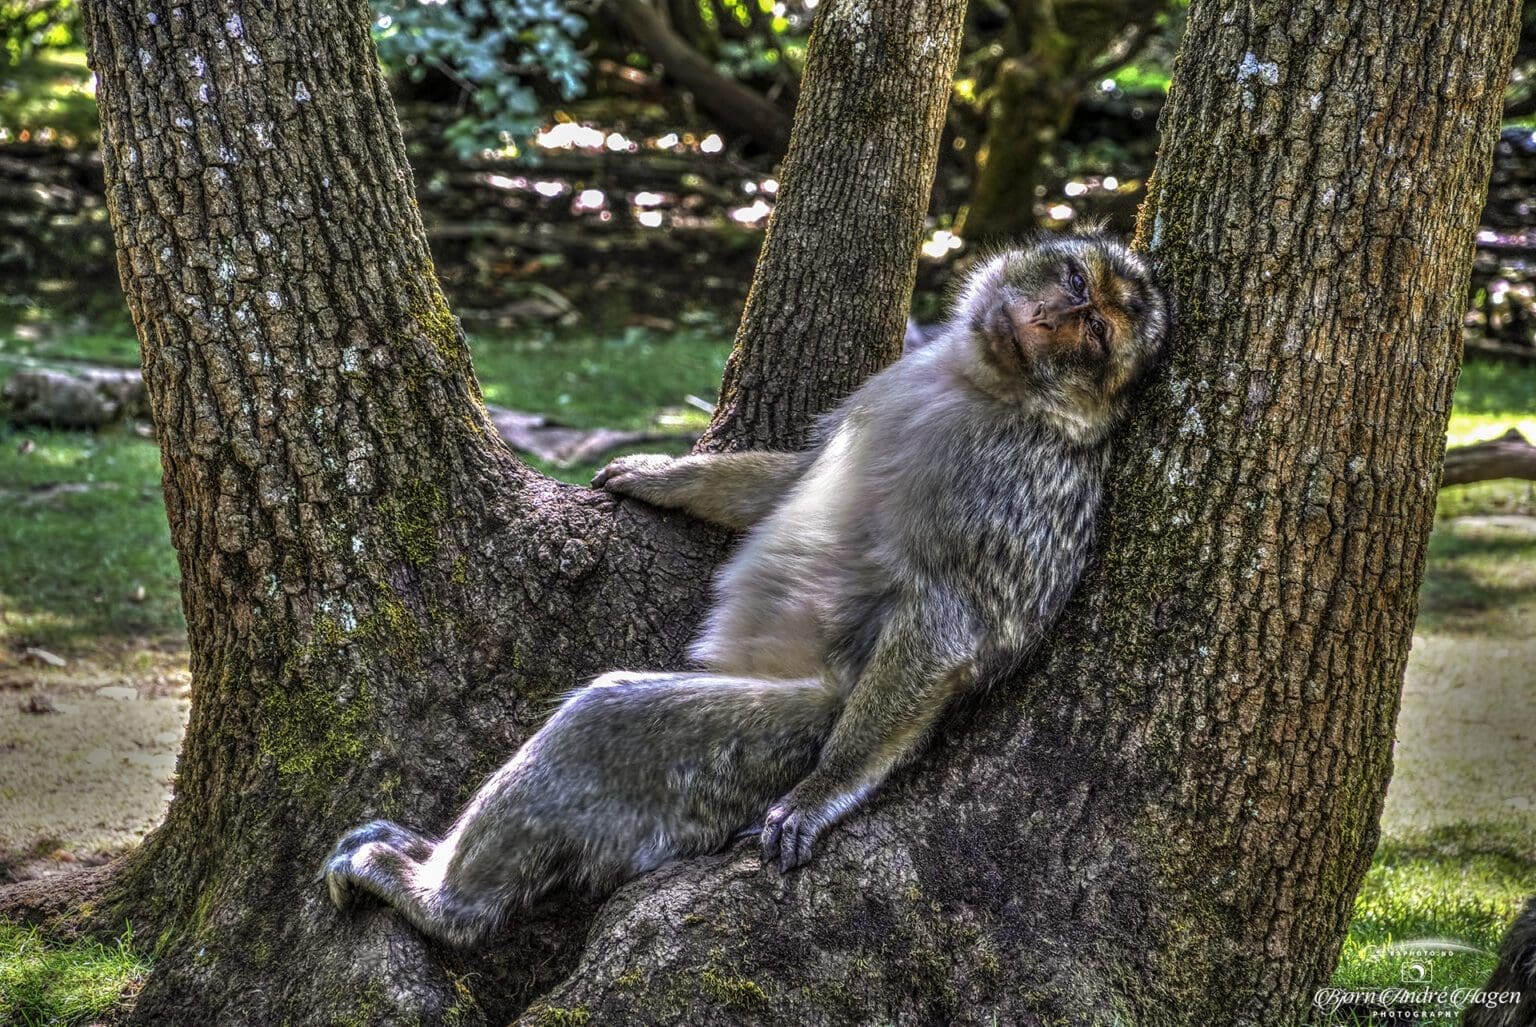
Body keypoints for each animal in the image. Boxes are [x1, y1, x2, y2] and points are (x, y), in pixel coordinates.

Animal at [317, 230, 1167, 945]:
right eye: (1075, 285)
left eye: (1095, 335)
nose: (1053, 318)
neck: (988, 389)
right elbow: (794, 477)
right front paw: (667, 477)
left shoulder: (1008, 483)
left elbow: (948, 623)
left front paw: (828, 789)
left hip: (762, 743)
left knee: (608, 724)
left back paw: (440, 901)